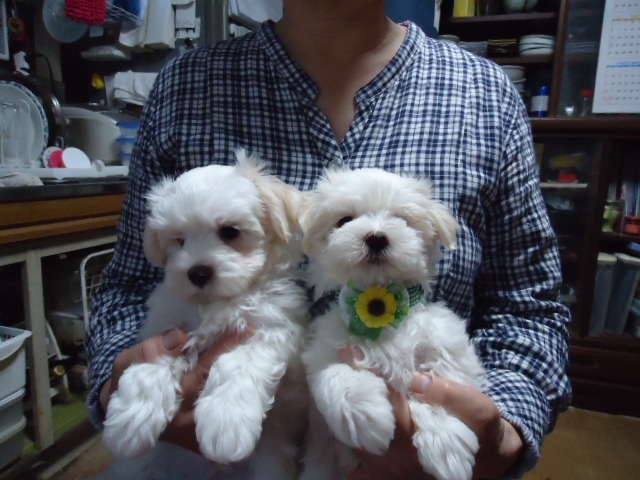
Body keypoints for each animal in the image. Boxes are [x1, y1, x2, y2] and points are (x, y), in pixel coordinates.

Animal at [102, 150, 309, 479]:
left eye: (230, 232)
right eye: (178, 240)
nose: (197, 272)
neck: (216, 302)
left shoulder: (273, 328)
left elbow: (239, 362)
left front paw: (225, 421)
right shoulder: (168, 327)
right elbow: (154, 357)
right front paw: (130, 418)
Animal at [298, 168, 486, 480]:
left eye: (404, 221)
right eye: (344, 221)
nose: (376, 237)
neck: (380, 306)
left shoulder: (443, 341)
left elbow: (443, 380)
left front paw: (446, 444)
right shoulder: (324, 350)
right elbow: (337, 376)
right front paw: (367, 417)